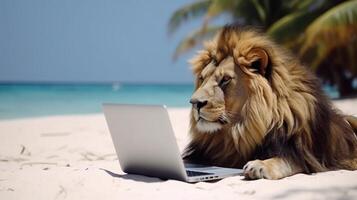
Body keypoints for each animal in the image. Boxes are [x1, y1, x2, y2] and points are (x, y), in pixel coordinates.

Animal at [184, 24, 356, 180]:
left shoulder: (309, 158)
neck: (240, 131)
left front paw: (260, 165)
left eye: (225, 80)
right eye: (202, 78)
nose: (194, 103)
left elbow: (286, 161)